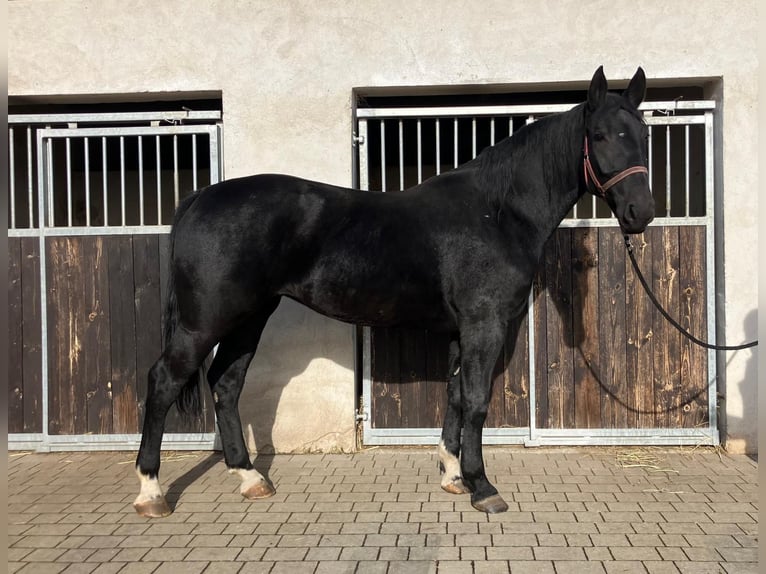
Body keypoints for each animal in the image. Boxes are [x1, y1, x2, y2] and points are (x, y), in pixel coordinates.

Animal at [134, 66, 655, 517]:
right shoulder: (484, 325)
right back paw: (151, 492)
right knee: (163, 380)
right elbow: (477, 401)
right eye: (601, 135)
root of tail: (201, 196)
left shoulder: (461, 332)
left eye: (644, 134)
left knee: (225, 384)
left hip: (249, 317)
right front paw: (482, 487)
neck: (498, 212)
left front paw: (452, 477)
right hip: (204, 322)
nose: (640, 212)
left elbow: (456, 398)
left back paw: (250, 479)